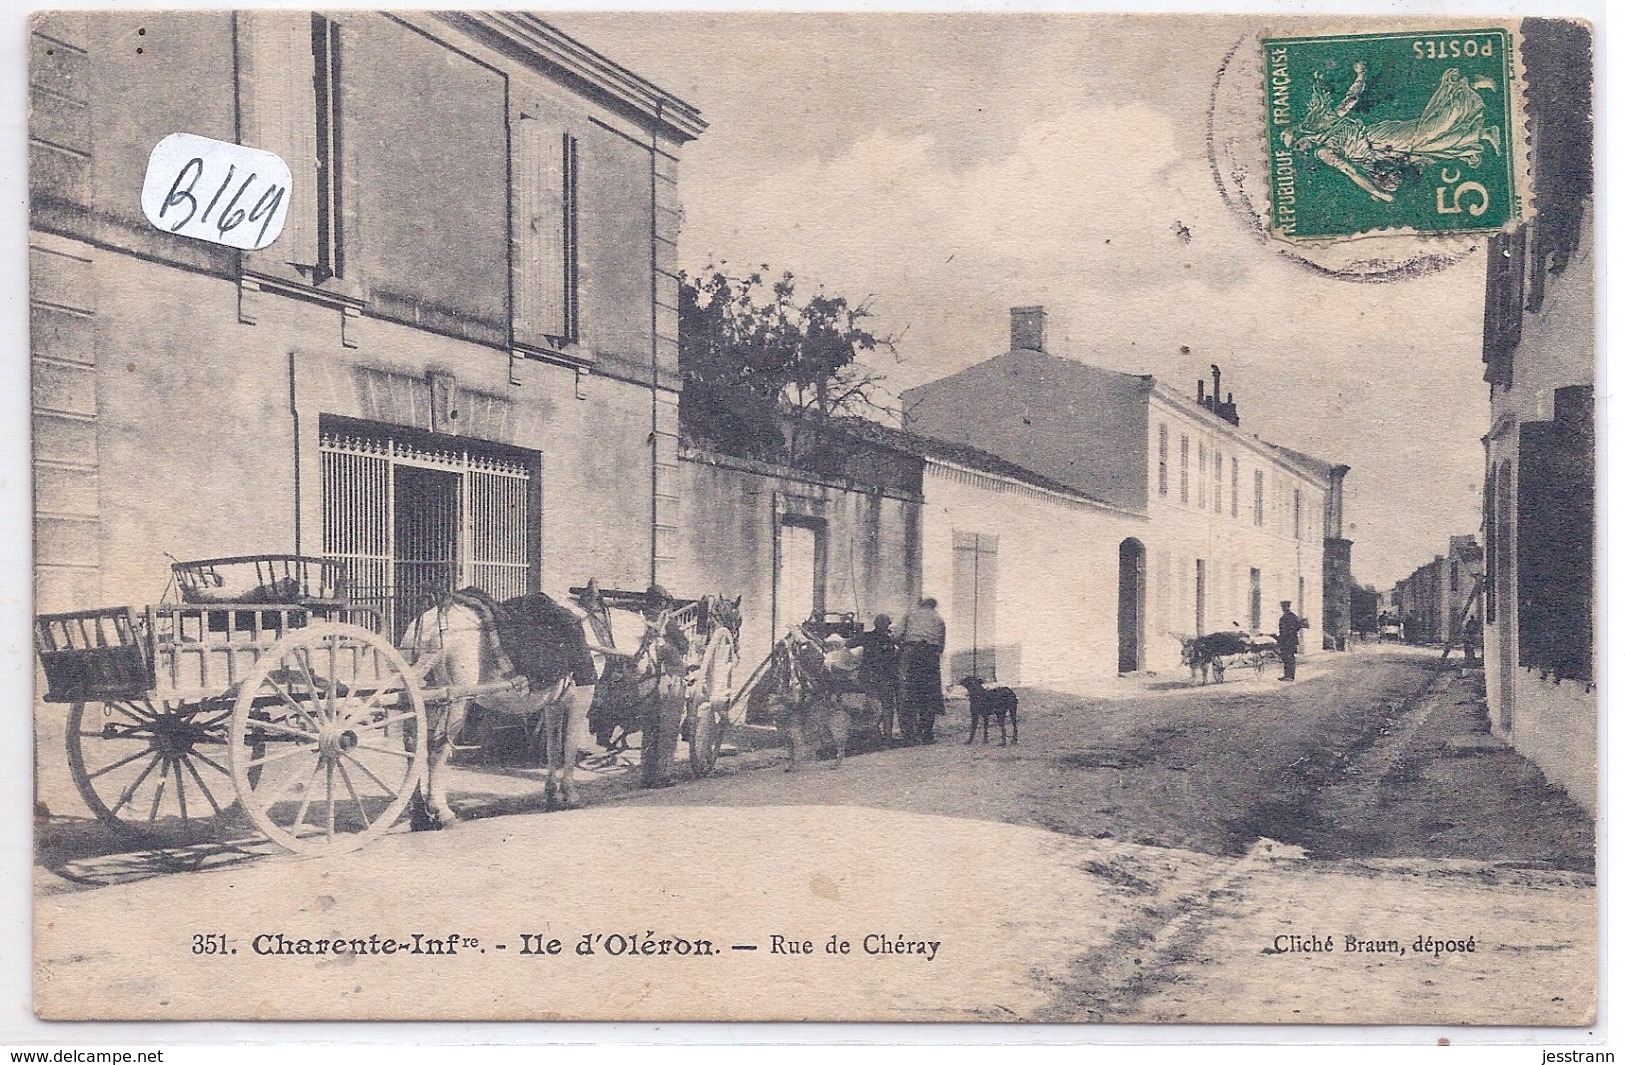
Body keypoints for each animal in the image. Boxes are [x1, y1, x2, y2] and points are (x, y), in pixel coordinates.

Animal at [399, 595, 604, 829]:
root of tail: (429, 630)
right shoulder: (582, 697)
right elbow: (570, 745)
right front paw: (571, 796)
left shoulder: (554, 704)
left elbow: (553, 748)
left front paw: (552, 794)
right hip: (455, 703)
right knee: (437, 750)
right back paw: (442, 812)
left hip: (423, 701)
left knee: (414, 747)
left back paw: (419, 815)